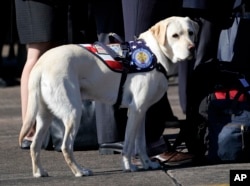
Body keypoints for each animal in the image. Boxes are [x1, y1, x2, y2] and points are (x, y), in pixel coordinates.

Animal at [19, 16, 199, 177]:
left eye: (190, 33)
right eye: (175, 35)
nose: (192, 48)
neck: (155, 53)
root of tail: (41, 63)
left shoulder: (141, 112)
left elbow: (141, 144)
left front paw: (148, 164)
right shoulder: (135, 111)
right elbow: (128, 145)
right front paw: (128, 166)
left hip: (45, 117)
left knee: (35, 146)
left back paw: (39, 172)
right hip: (73, 113)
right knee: (66, 147)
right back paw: (79, 171)